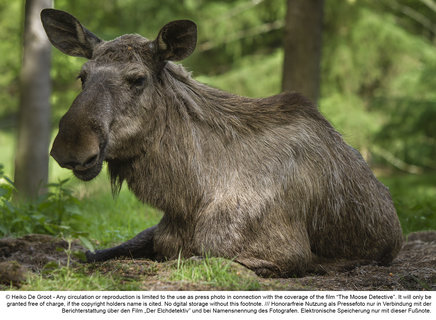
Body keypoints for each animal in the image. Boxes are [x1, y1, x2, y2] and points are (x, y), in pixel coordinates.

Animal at [40, 8, 402, 276]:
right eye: (82, 76)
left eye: (137, 79)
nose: (71, 147)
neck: (188, 194)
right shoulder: (158, 233)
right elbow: (94, 253)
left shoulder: (282, 254)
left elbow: (200, 256)